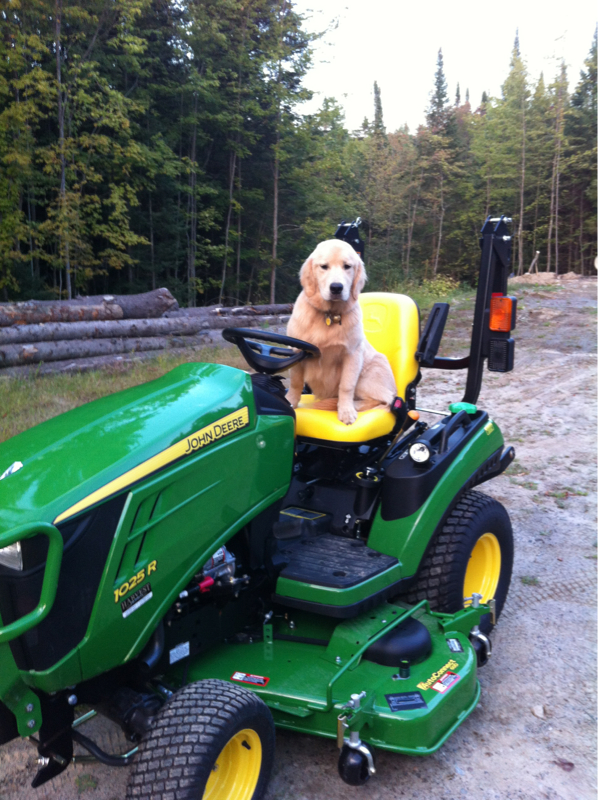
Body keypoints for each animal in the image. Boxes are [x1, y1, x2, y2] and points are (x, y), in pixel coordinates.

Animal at [286, 239, 396, 425]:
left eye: (347, 266)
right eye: (324, 266)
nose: (336, 288)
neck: (329, 315)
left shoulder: (352, 355)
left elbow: (346, 386)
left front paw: (346, 411)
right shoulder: (297, 350)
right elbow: (295, 382)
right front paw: (290, 402)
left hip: (366, 379)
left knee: (385, 400)